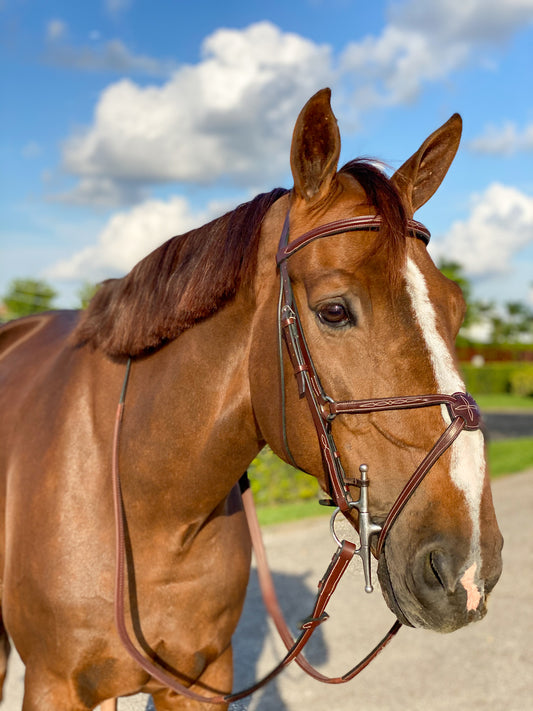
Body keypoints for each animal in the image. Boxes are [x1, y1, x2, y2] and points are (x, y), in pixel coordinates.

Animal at [0, 90, 500, 711]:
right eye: (334, 310)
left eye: (457, 309)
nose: (469, 564)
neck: (147, 505)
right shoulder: (52, 686)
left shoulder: (204, 681)